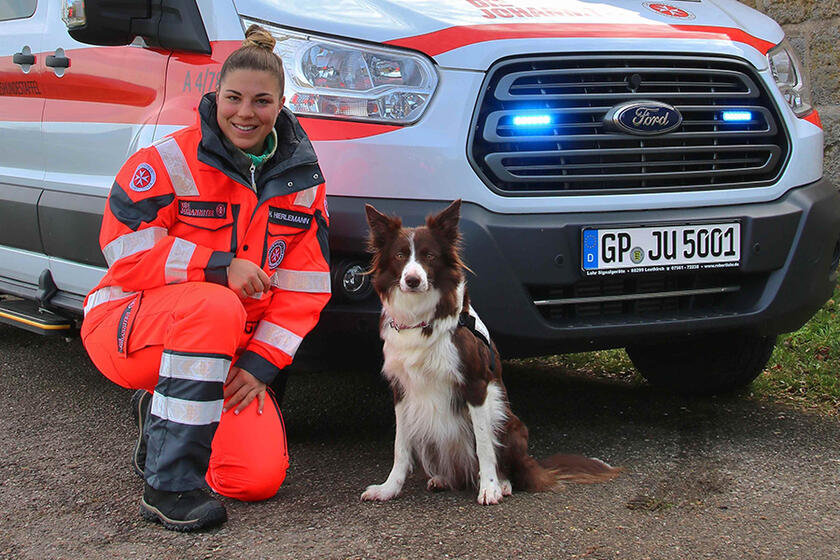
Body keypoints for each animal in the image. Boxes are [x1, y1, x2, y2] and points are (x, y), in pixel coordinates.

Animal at [361, 199, 620, 505]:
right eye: (400, 255)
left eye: (430, 256)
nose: (412, 280)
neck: (422, 317)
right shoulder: (401, 390)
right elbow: (400, 446)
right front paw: (389, 488)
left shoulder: (477, 385)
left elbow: (484, 445)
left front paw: (490, 488)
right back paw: (443, 478)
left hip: (505, 416)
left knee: (509, 465)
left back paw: (503, 482)